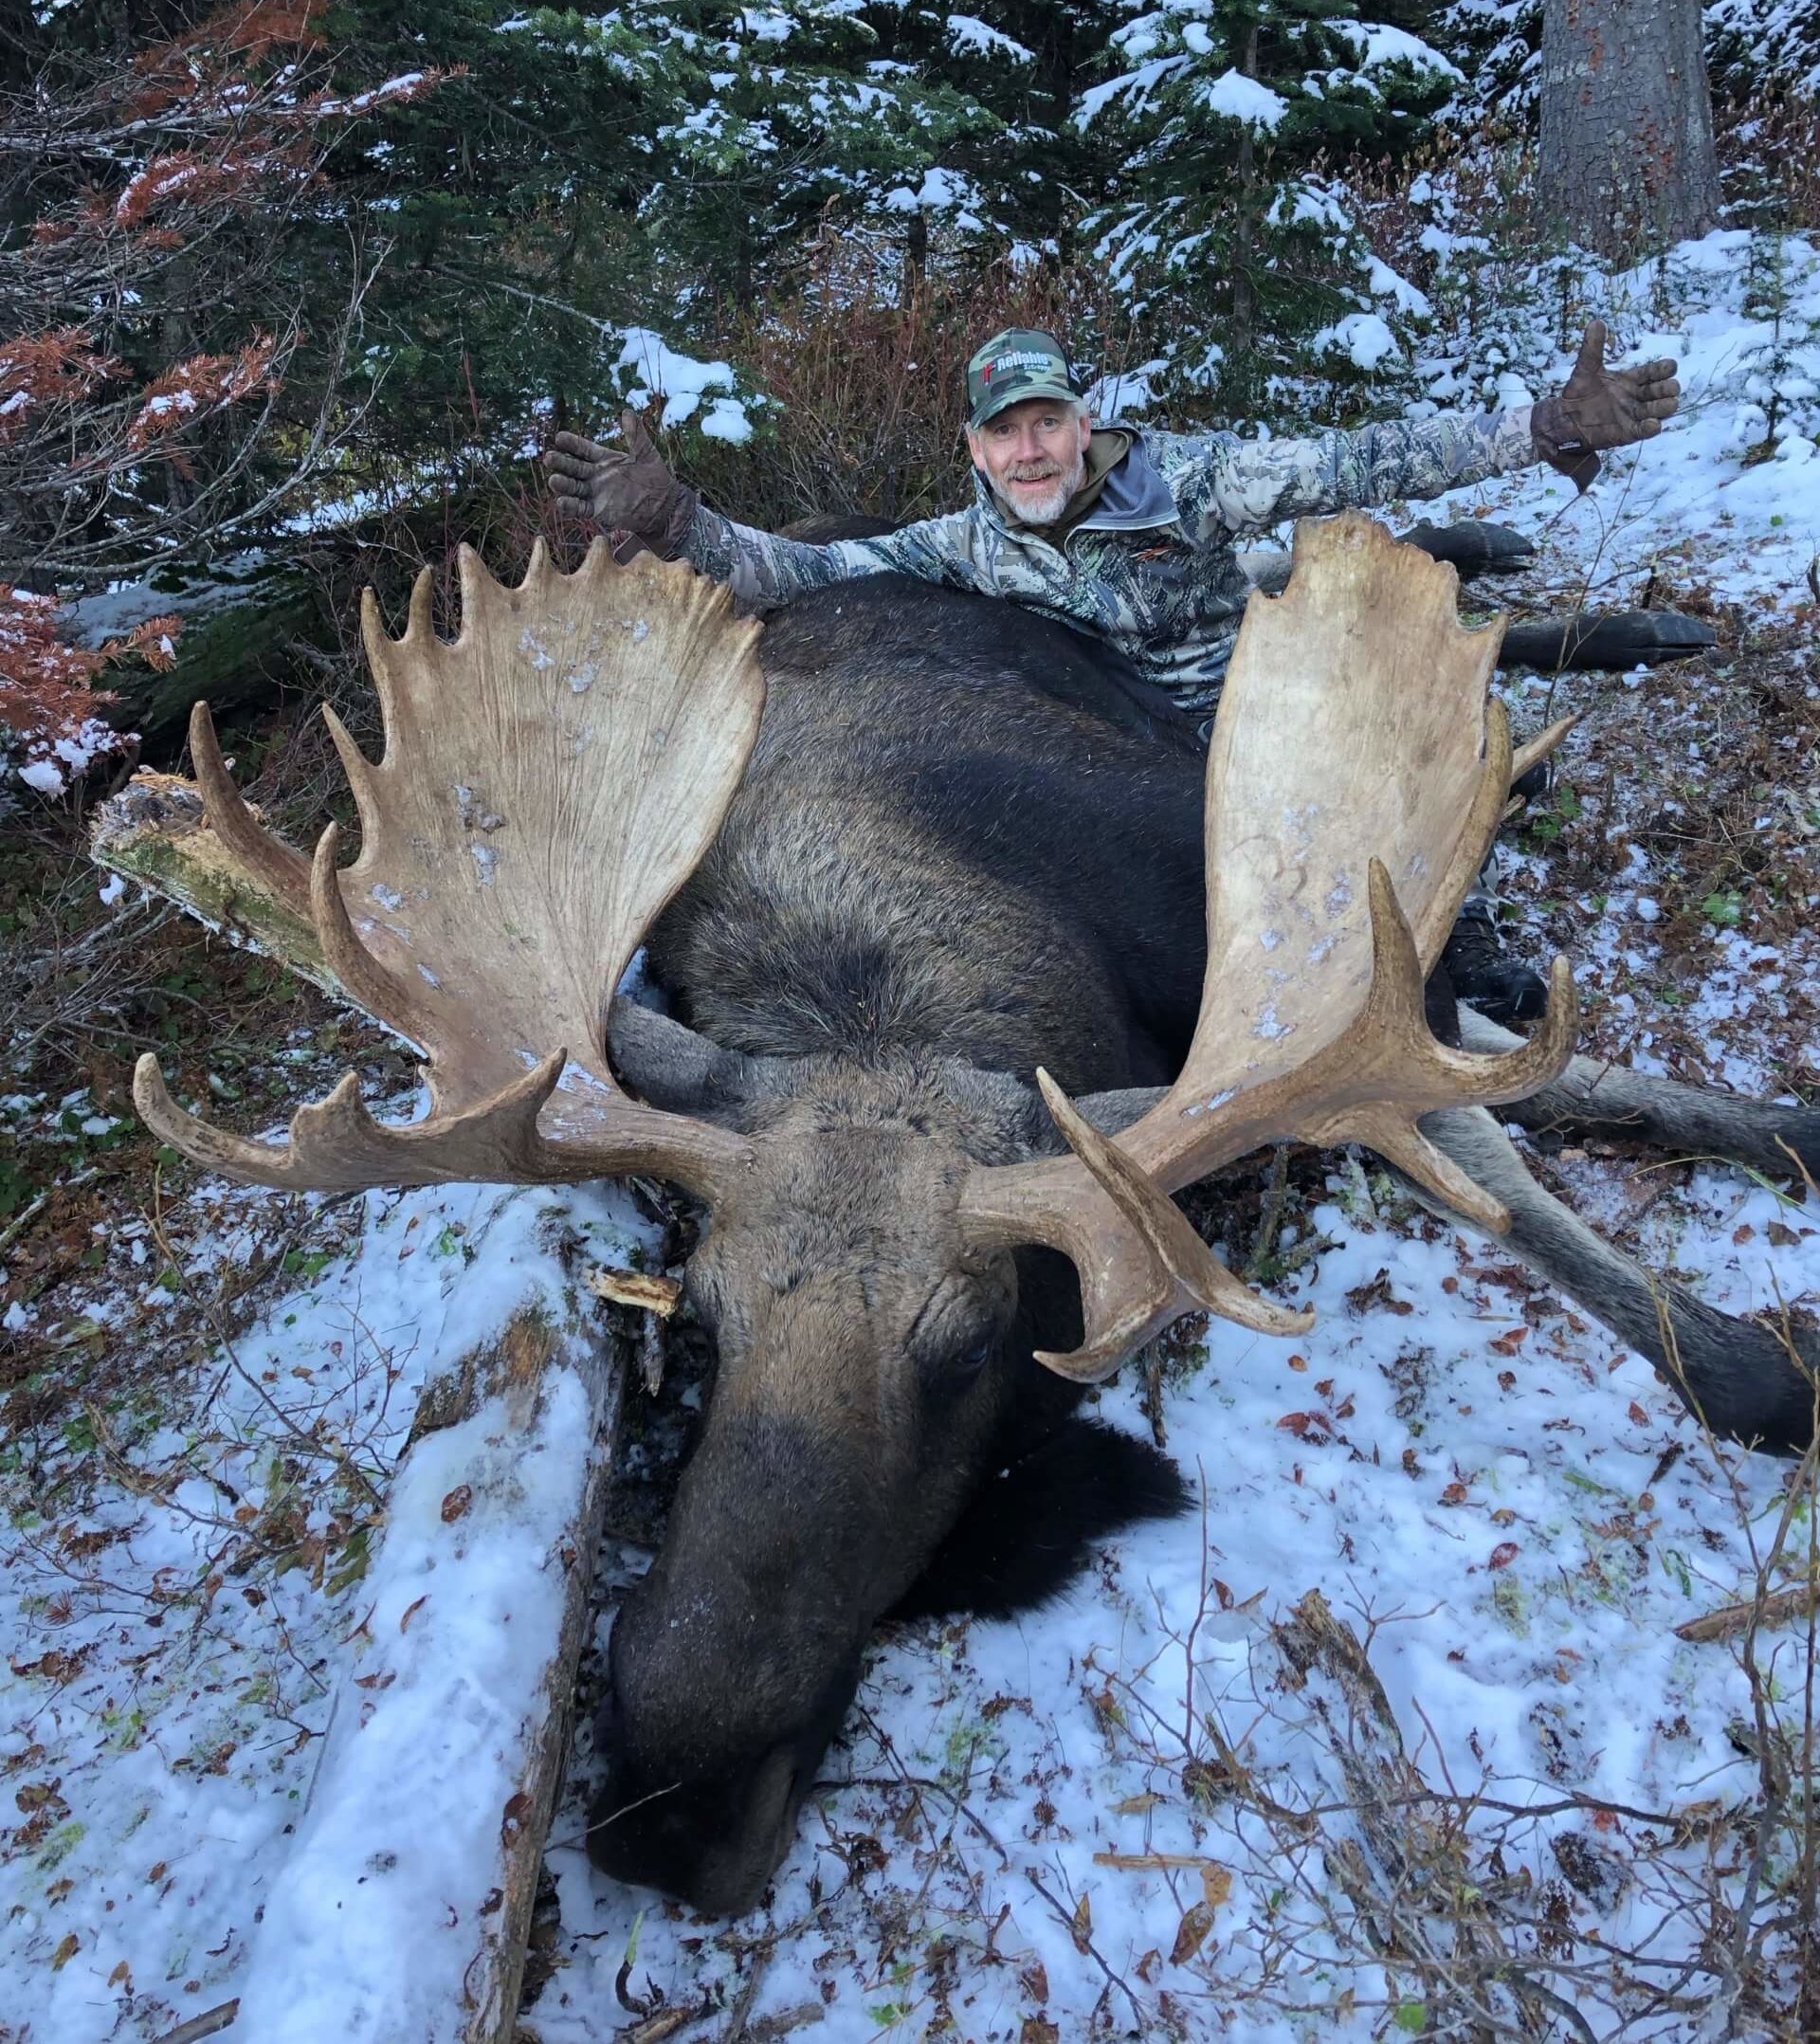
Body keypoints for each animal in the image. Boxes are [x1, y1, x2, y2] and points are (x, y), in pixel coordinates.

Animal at [125, 512, 1818, 1916]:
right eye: (704, 1324)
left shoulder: (1320, 937)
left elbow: (1495, 1131)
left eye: (967, 1347)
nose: (669, 1811)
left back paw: (1602, 629)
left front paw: (1753, 1302)